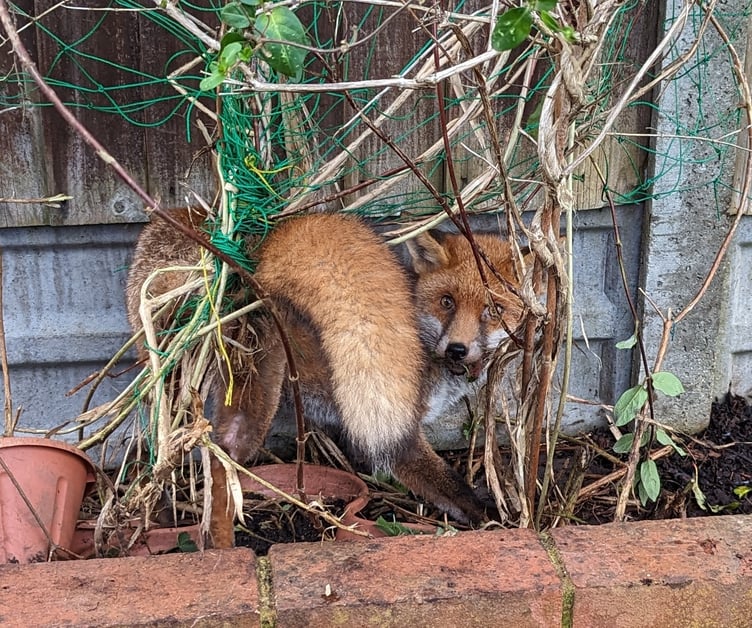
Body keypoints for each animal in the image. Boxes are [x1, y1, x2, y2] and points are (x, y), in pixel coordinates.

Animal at [126, 209, 527, 547]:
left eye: (493, 310)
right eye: (447, 302)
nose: (457, 349)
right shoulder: (399, 428)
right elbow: (447, 484)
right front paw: (489, 518)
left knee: (208, 457)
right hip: (260, 394)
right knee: (220, 458)